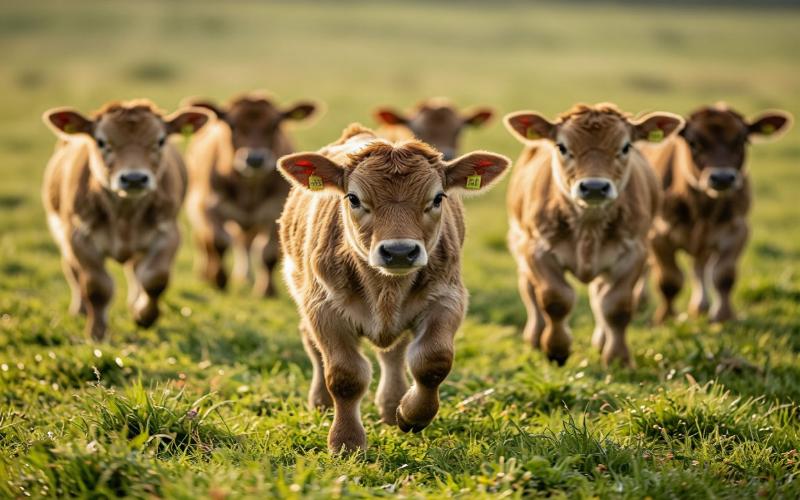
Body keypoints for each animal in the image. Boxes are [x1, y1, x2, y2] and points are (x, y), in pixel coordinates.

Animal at [42, 100, 211, 341]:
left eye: (161, 140)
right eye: (101, 141)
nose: (134, 178)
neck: (125, 217)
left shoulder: (168, 233)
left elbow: (155, 278)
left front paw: (144, 316)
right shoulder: (79, 237)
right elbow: (96, 286)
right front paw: (97, 333)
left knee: (136, 271)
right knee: (71, 269)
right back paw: (80, 309)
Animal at [182, 91, 318, 296]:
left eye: (274, 124)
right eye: (231, 124)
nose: (255, 159)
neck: (249, 191)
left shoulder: (274, 211)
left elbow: (267, 252)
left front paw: (266, 290)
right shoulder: (210, 207)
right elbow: (218, 241)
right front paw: (219, 280)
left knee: (244, 243)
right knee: (204, 242)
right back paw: (206, 273)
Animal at [276, 123, 510, 452]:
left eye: (438, 198)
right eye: (353, 198)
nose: (400, 251)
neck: (385, 290)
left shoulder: (448, 298)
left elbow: (432, 361)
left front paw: (411, 414)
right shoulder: (323, 308)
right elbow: (345, 375)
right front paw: (346, 441)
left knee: (394, 354)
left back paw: (391, 405)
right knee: (313, 345)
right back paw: (321, 403)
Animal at [504, 103, 683, 367]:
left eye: (625, 146)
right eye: (562, 146)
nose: (595, 187)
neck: (588, 227)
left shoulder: (633, 253)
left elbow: (616, 306)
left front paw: (618, 358)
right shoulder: (537, 249)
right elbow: (555, 298)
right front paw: (556, 349)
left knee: (599, 296)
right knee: (529, 291)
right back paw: (535, 337)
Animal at [640, 103, 792, 323]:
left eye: (742, 140)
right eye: (693, 142)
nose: (722, 178)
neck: (703, 211)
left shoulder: (737, 230)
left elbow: (724, 276)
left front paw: (723, 315)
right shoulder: (659, 234)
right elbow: (669, 279)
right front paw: (666, 317)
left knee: (700, 266)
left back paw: (700, 306)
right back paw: (641, 300)